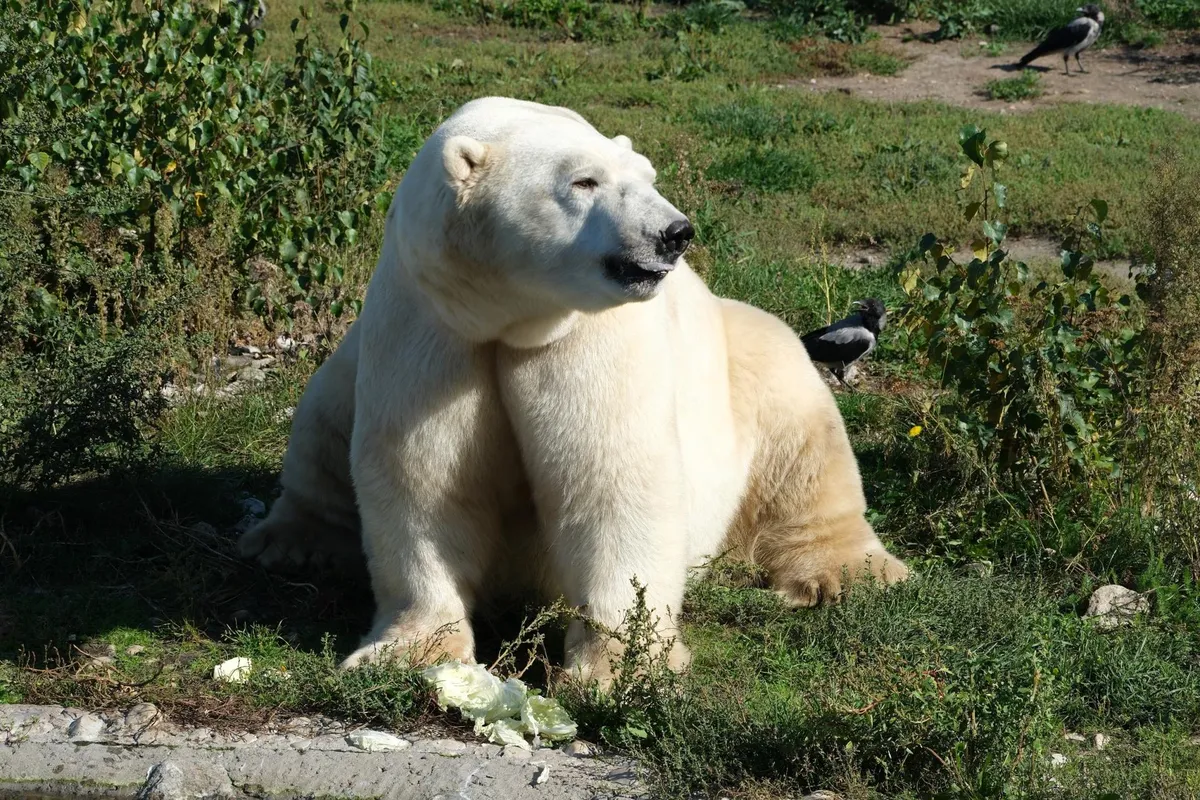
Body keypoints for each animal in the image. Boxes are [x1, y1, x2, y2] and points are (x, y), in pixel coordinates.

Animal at [238, 95, 902, 681]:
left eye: (646, 175)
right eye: (584, 181)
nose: (674, 232)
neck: (511, 316)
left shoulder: (584, 339)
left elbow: (612, 479)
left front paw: (619, 669)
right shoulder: (432, 326)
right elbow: (423, 480)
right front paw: (412, 652)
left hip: (751, 361)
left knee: (805, 443)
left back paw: (848, 574)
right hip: (348, 363)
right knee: (321, 423)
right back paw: (291, 542)